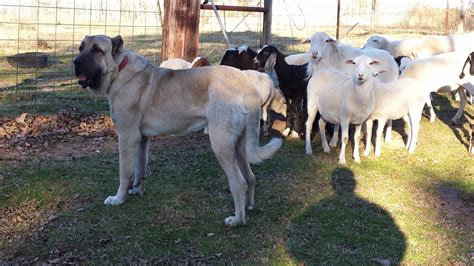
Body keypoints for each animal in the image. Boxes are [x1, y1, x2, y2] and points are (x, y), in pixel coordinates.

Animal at [73, 34, 282, 227]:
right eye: (81, 47)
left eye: (97, 50)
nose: (76, 62)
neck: (119, 70)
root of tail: (247, 86)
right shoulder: (141, 139)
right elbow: (140, 167)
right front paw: (138, 190)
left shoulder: (126, 138)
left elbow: (125, 173)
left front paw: (118, 199)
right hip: (238, 145)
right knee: (250, 177)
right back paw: (248, 207)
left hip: (221, 145)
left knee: (239, 183)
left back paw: (237, 220)